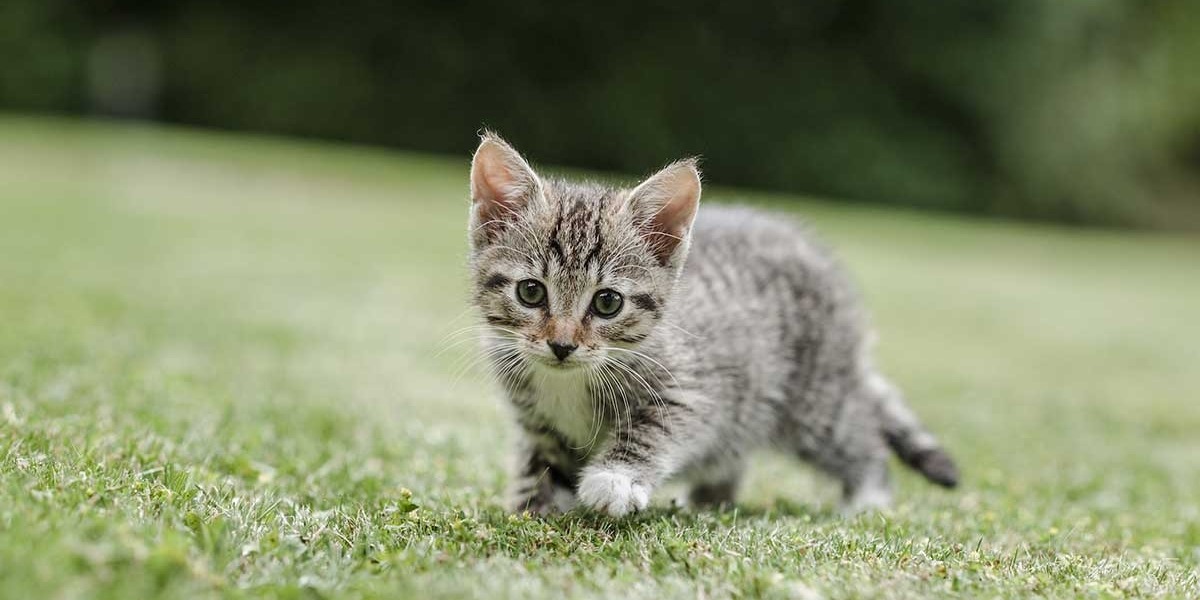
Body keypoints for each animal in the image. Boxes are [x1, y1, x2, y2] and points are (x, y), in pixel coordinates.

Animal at [463, 133, 960, 518]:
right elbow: (540, 463)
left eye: (607, 302)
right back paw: (710, 499)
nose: (562, 344)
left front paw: (615, 479)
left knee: (859, 434)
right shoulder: (536, 421)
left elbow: (656, 428)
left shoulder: (692, 388)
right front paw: (534, 507)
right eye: (531, 292)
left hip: (813, 398)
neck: (568, 381)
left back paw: (868, 497)